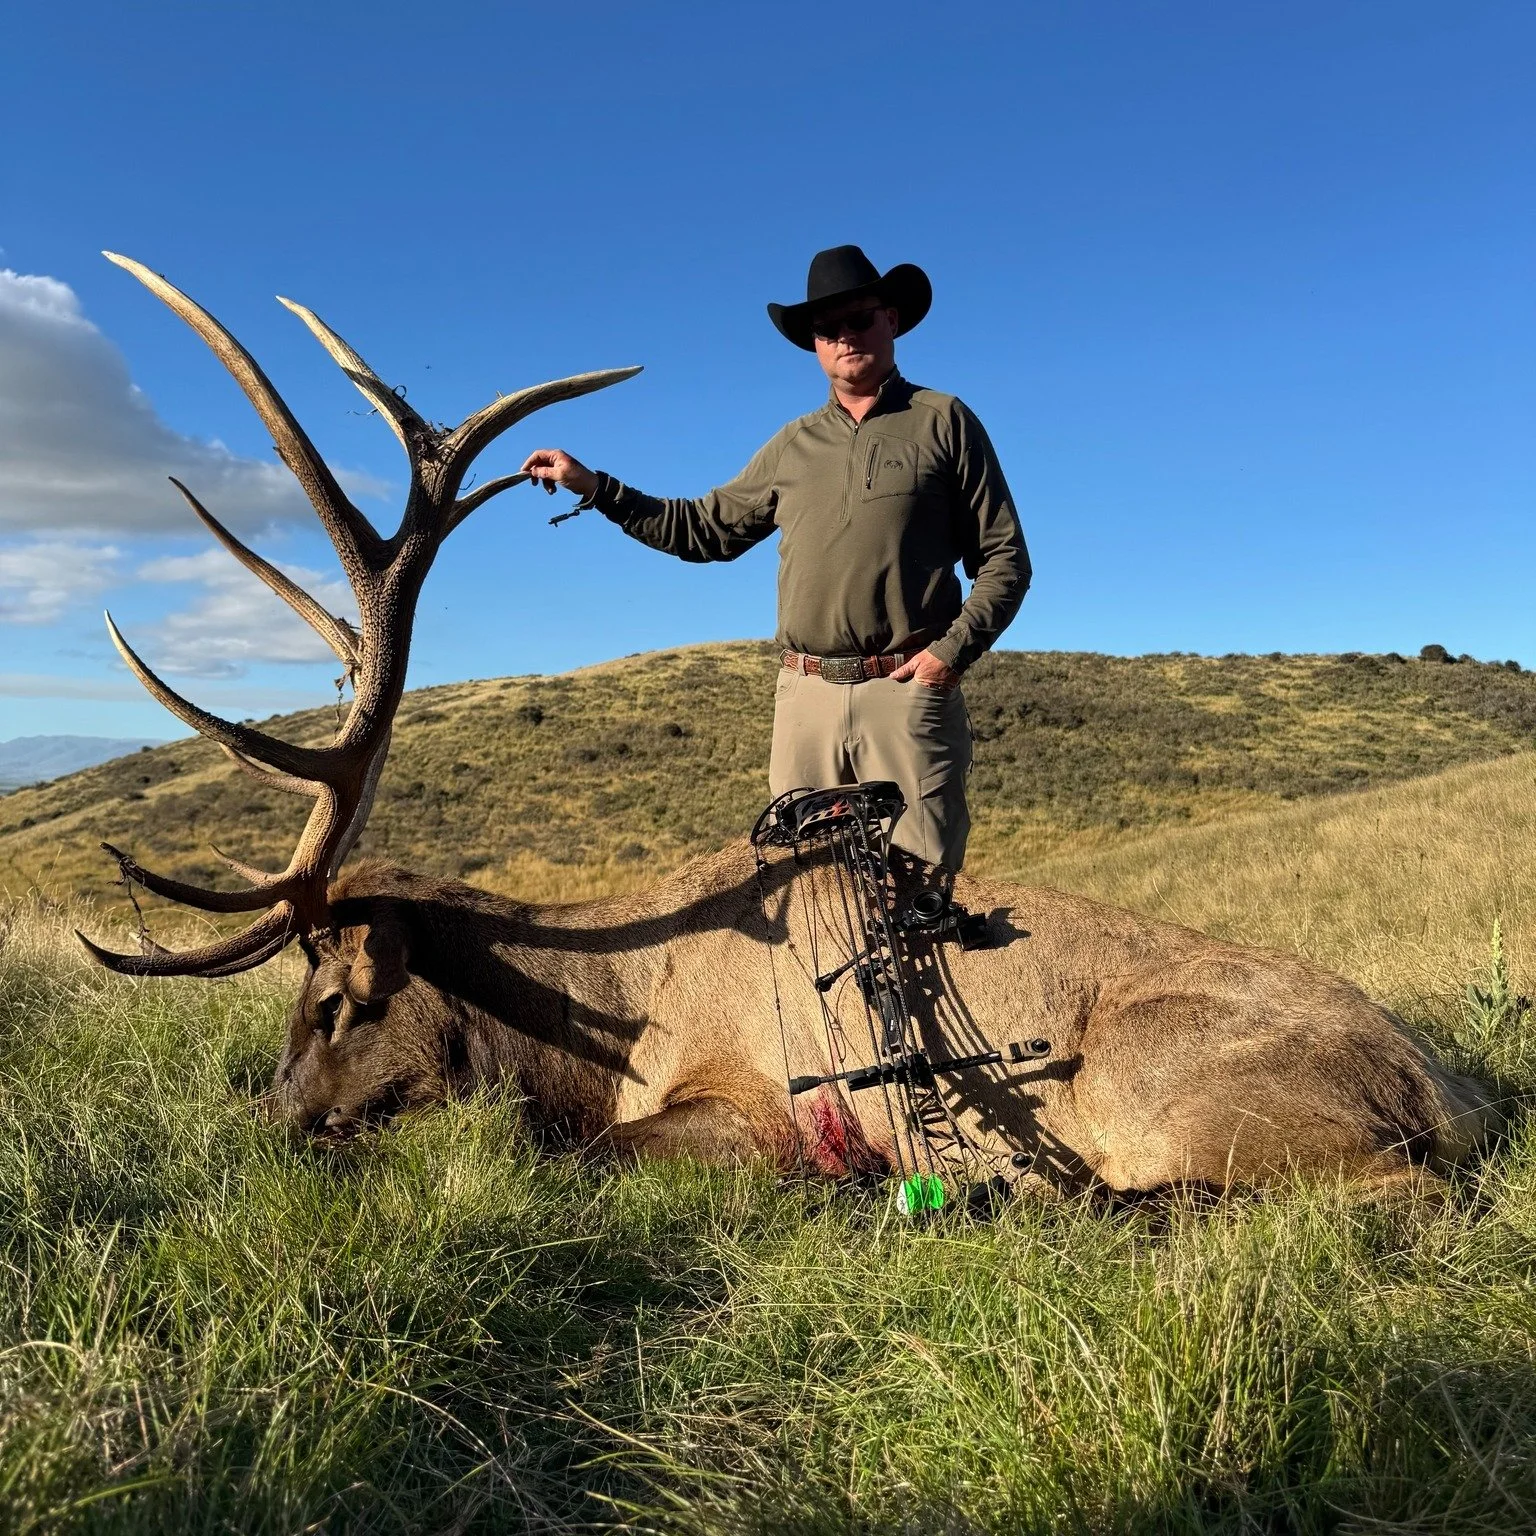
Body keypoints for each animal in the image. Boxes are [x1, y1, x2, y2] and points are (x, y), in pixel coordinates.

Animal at [78, 256, 1497, 1203]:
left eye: (333, 1003)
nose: (264, 1130)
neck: (594, 1024)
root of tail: (1456, 1097)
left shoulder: (755, 1114)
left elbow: (591, 1156)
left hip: (1172, 1095)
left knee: (1354, 1192)